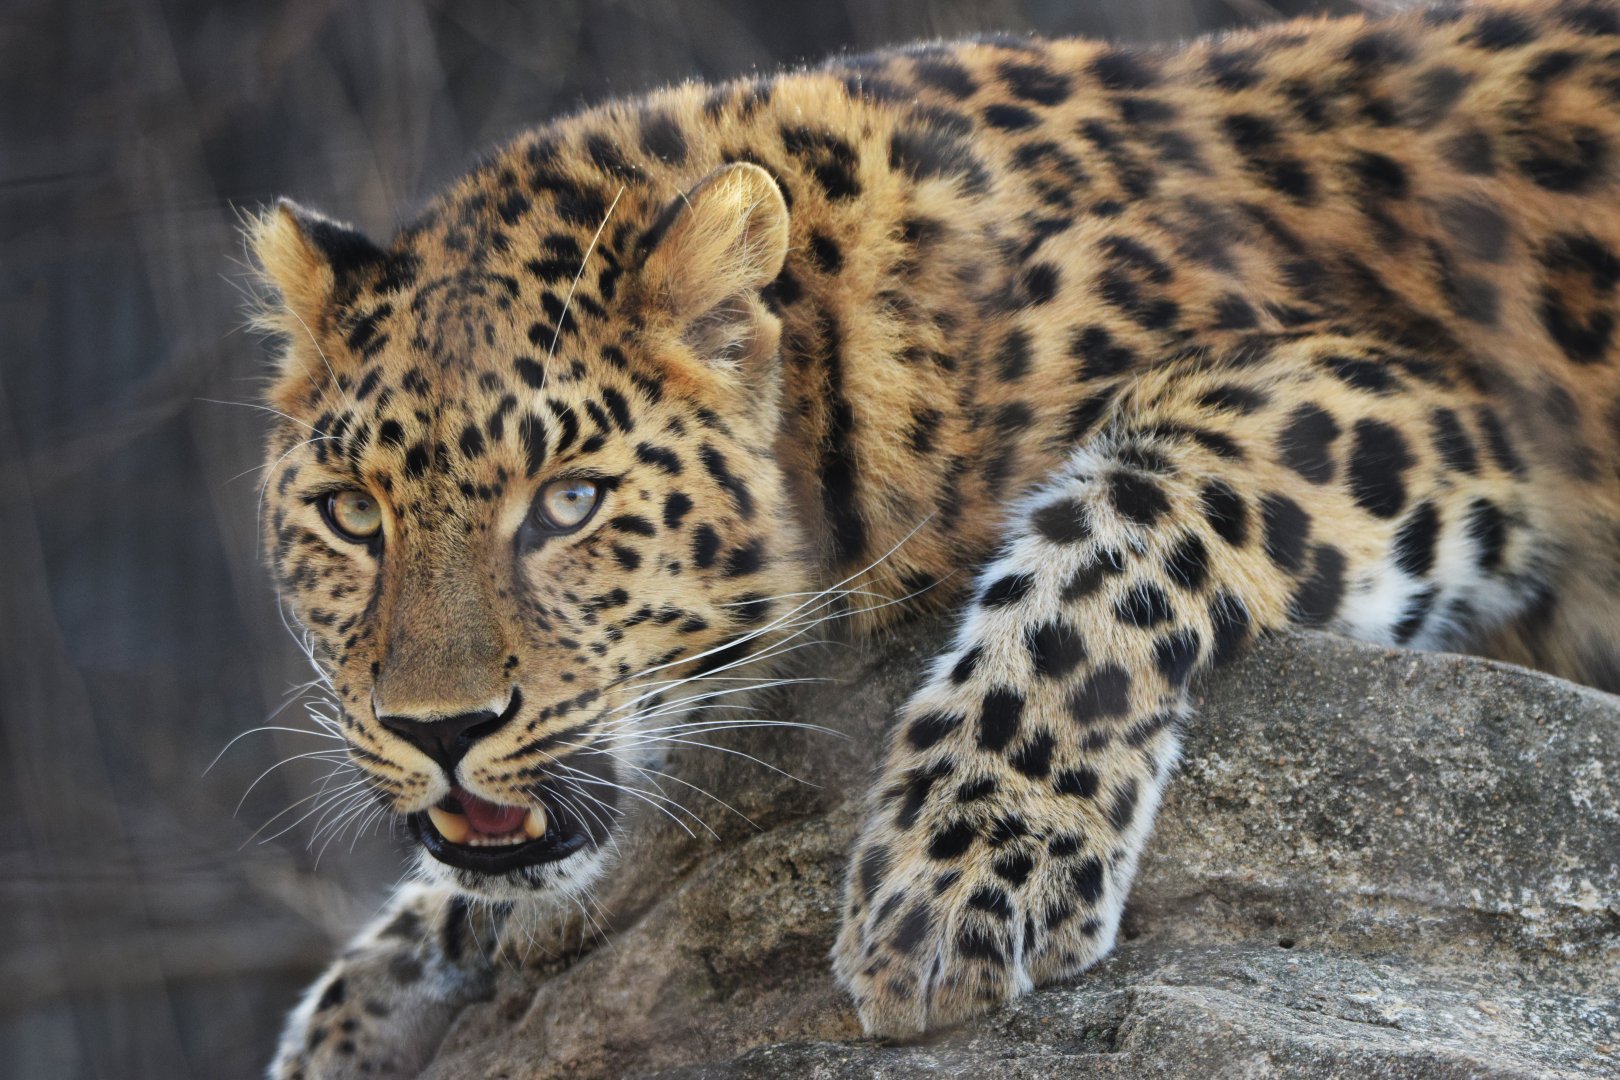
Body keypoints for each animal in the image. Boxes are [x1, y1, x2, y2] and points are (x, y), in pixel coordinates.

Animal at [248, 1, 1620, 1075]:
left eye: (569, 501)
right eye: (352, 514)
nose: (441, 730)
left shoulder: (1403, 395)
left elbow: (1106, 537)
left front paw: (959, 882)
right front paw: (364, 996)